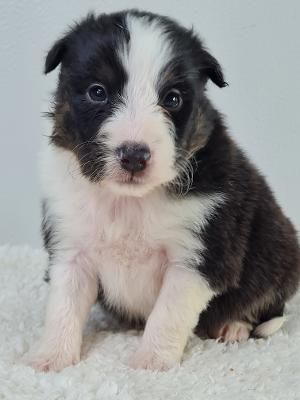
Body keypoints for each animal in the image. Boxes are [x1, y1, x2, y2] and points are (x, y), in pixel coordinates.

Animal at [28, 9, 300, 372]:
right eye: (98, 92)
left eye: (172, 98)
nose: (134, 155)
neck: (129, 201)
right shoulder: (71, 248)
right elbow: (63, 308)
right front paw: (51, 358)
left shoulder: (196, 257)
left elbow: (167, 315)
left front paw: (151, 362)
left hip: (277, 247)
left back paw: (234, 326)